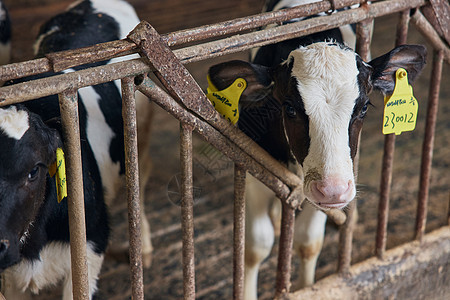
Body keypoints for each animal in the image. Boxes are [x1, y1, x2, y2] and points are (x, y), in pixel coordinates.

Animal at [207, 0, 426, 298]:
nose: (333, 190)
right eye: (289, 108)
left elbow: (308, 242)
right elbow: (255, 247)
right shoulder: (250, 164)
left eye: (364, 108)